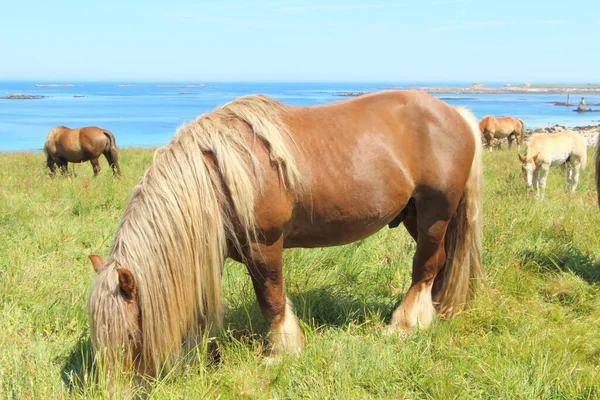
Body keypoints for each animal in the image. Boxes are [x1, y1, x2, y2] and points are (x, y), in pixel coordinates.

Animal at [86, 90, 486, 384]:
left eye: (129, 338)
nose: (119, 390)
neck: (216, 173)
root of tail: (455, 114)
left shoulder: (263, 246)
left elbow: (272, 300)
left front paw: (280, 352)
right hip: (415, 216)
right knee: (440, 265)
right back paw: (434, 311)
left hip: (434, 215)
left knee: (425, 267)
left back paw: (403, 325)